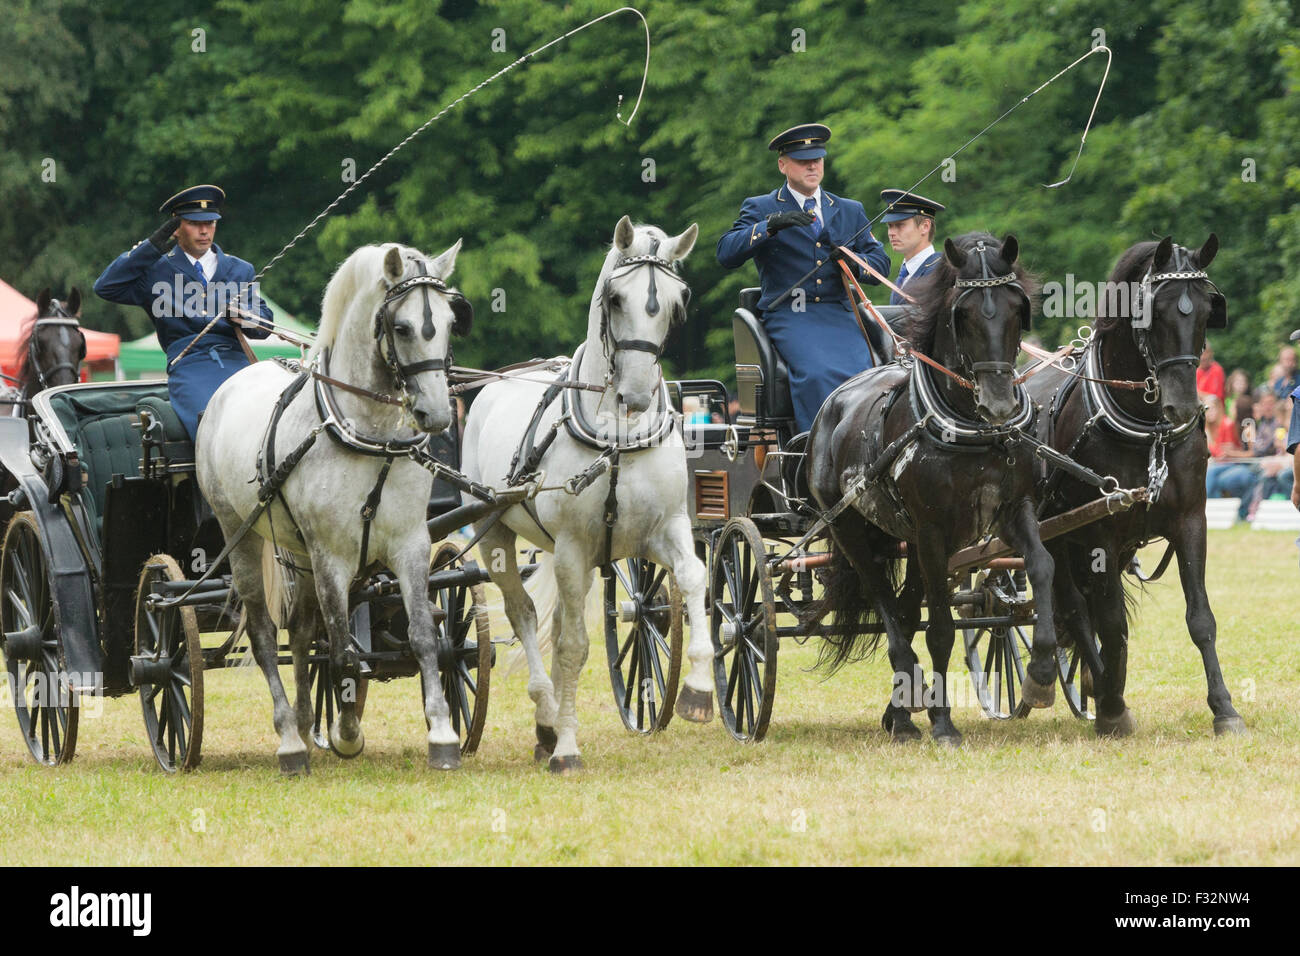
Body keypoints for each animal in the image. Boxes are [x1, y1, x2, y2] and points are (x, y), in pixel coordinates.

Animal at [197, 243, 473, 775]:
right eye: (401, 327)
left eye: (452, 321)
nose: (436, 414)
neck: (370, 435)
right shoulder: (332, 556)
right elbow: (343, 649)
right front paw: (347, 731)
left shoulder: (410, 544)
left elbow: (422, 637)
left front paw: (442, 733)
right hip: (240, 534)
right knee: (266, 635)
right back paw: (290, 740)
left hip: (299, 555)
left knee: (304, 634)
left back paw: (306, 724)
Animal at [462, 214, 712, 770]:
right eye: (615, 299)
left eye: (680, 300)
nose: (635, 396)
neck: (617, 437)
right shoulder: (574, 548)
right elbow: (574, 647)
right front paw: (568, 747)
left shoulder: (663, 530)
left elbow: (694, 578)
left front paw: (699, 690)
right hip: (496, 537)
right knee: (526, 615)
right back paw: (547, 721)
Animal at [800, 234, 1055, 749]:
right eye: (963, 313)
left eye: (1018, 307)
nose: (999, 404)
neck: (971, 429)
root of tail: (833, 403)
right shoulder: (934, 531)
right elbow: (939, 627)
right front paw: (943, 723)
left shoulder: (1013, 512)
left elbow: (1041, 566)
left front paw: (1041, 671)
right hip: (853, 530)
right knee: (887, 607)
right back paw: (905, 714)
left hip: (911, 540)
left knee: (902, 611)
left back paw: (901, 705)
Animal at [1024, 234, 1248, 738]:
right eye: (1151, 311)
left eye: (1207, 310)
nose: (1182, 407)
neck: (1145, 431)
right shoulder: (1099, 533)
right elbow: (1109, 622)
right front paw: (1111, 707)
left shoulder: (1191, 520)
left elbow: (1200, 618)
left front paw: (1224, 708)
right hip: (1057, 534)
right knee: (1074, 608)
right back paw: (1090, 688)